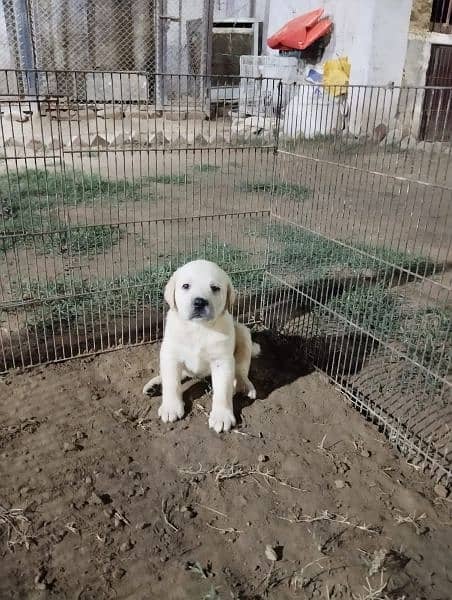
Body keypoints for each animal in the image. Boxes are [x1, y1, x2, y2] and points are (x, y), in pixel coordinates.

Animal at [143, 258, 260, 432]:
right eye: (186, 286)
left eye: (215, 288)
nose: (199, 302)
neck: (198, 328)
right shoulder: (170, 355)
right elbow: (171, 382)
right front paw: (171, 407)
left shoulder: (222, 360)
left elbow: (222, 390)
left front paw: (222, 416)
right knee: (180, 375)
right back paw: (155, 385)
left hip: (243, 333)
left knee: (241, 371)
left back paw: (244, 386)